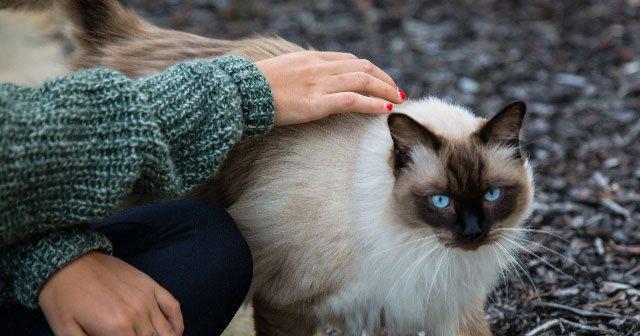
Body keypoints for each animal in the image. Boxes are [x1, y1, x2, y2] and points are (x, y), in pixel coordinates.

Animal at [51, 1, 536, 334]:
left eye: (493, 195)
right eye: (440, 201)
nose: (473, 233)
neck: (427, 252)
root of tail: (125, 35)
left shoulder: (440, 313)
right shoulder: (286, 303)